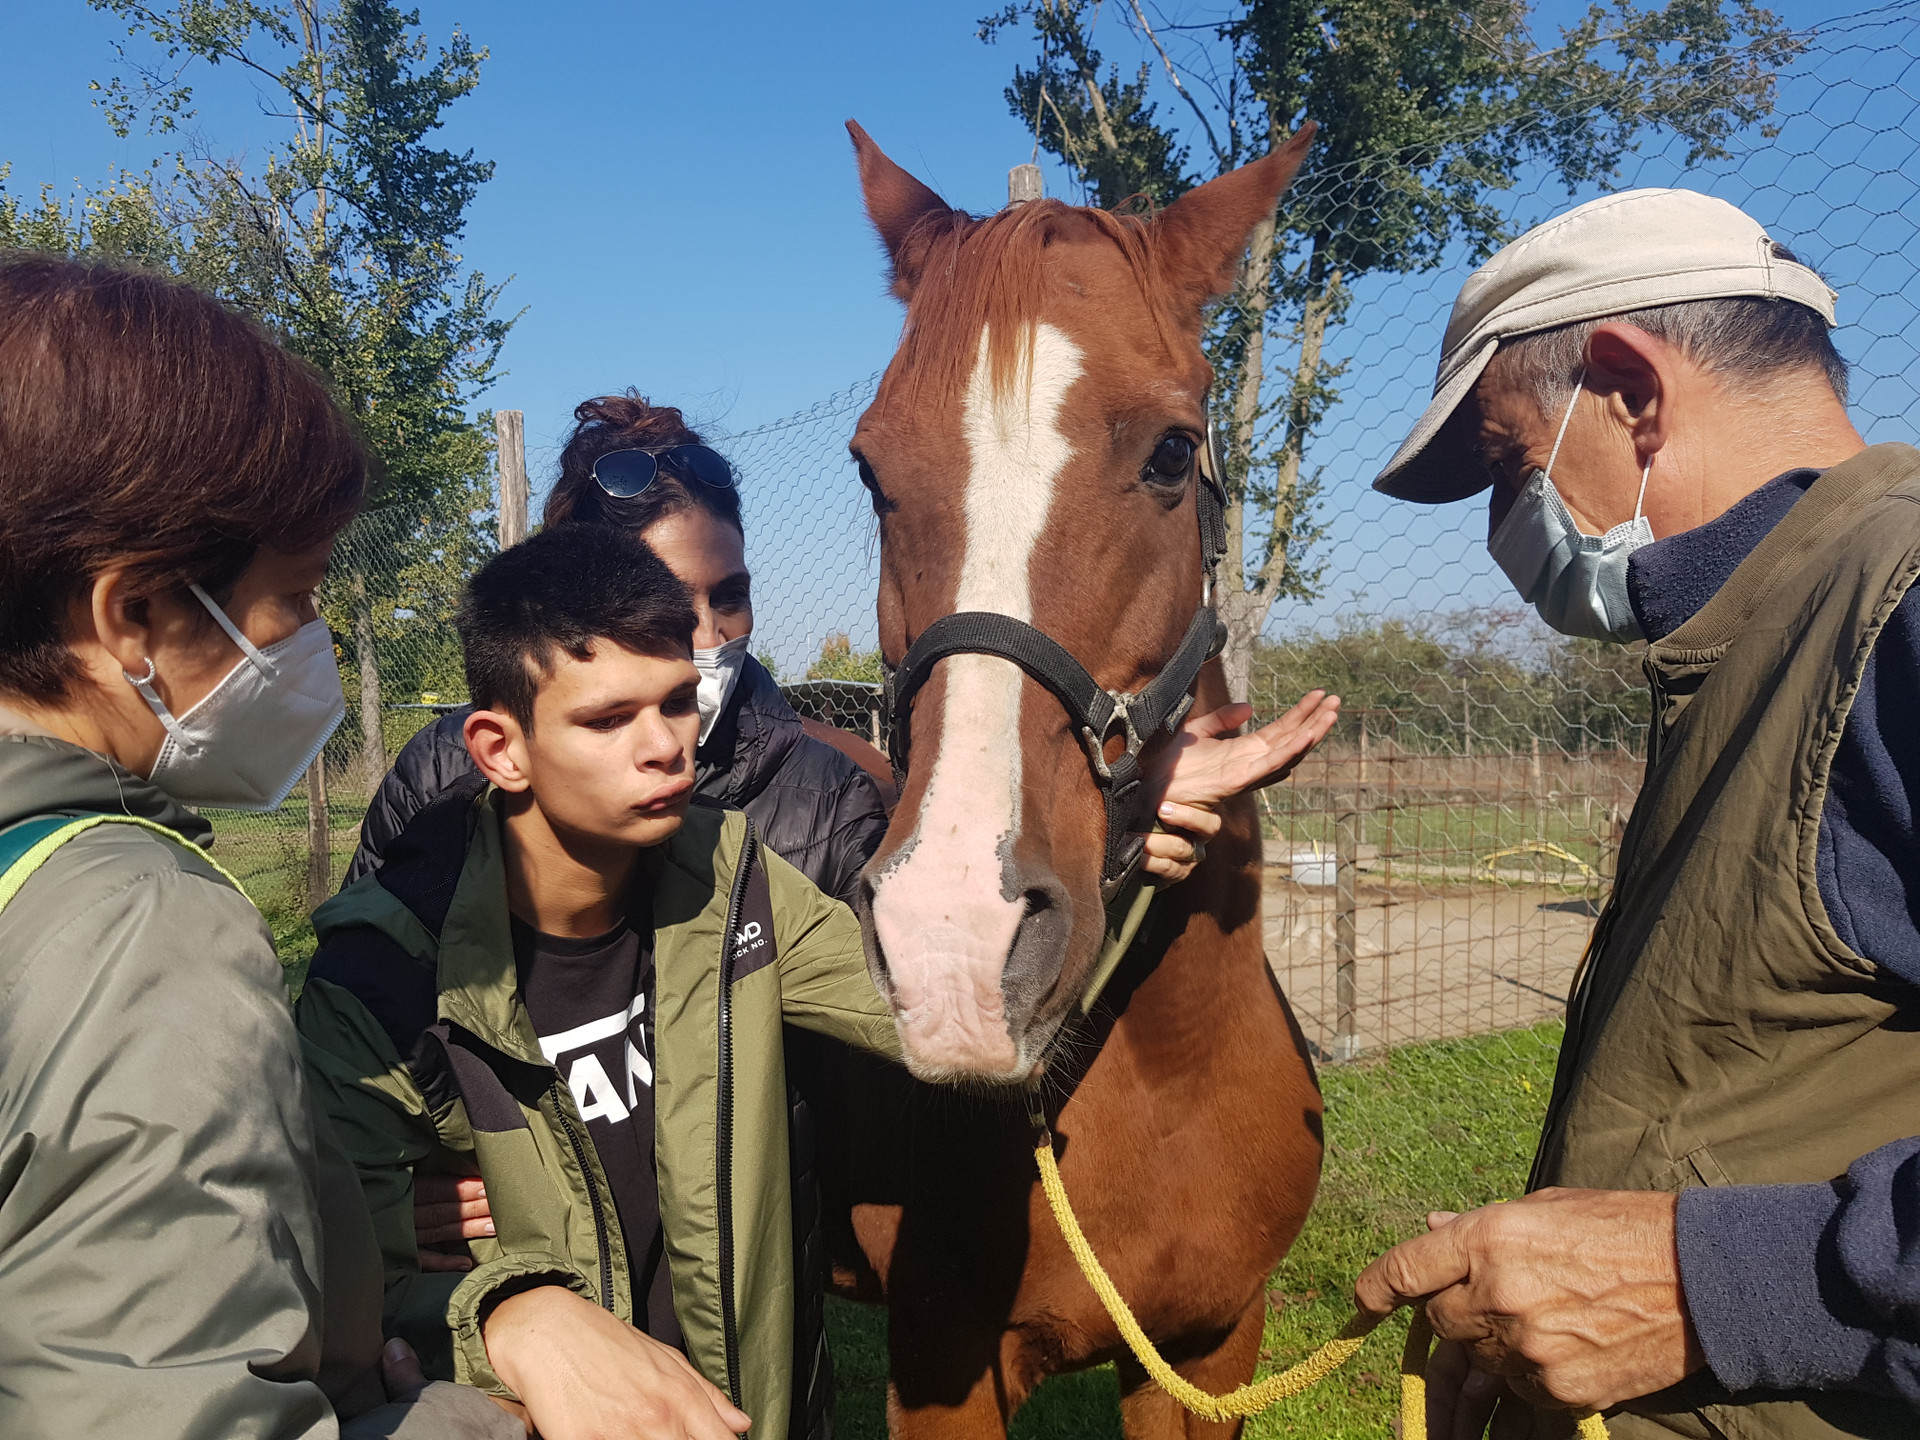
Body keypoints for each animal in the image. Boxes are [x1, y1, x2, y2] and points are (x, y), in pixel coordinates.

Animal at [824, 121, 1327, 1440]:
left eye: (1171, 453)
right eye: (870, 471)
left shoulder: (1211, 1356)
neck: (1161, 1080)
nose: (953, 941)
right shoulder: (941, 1371)